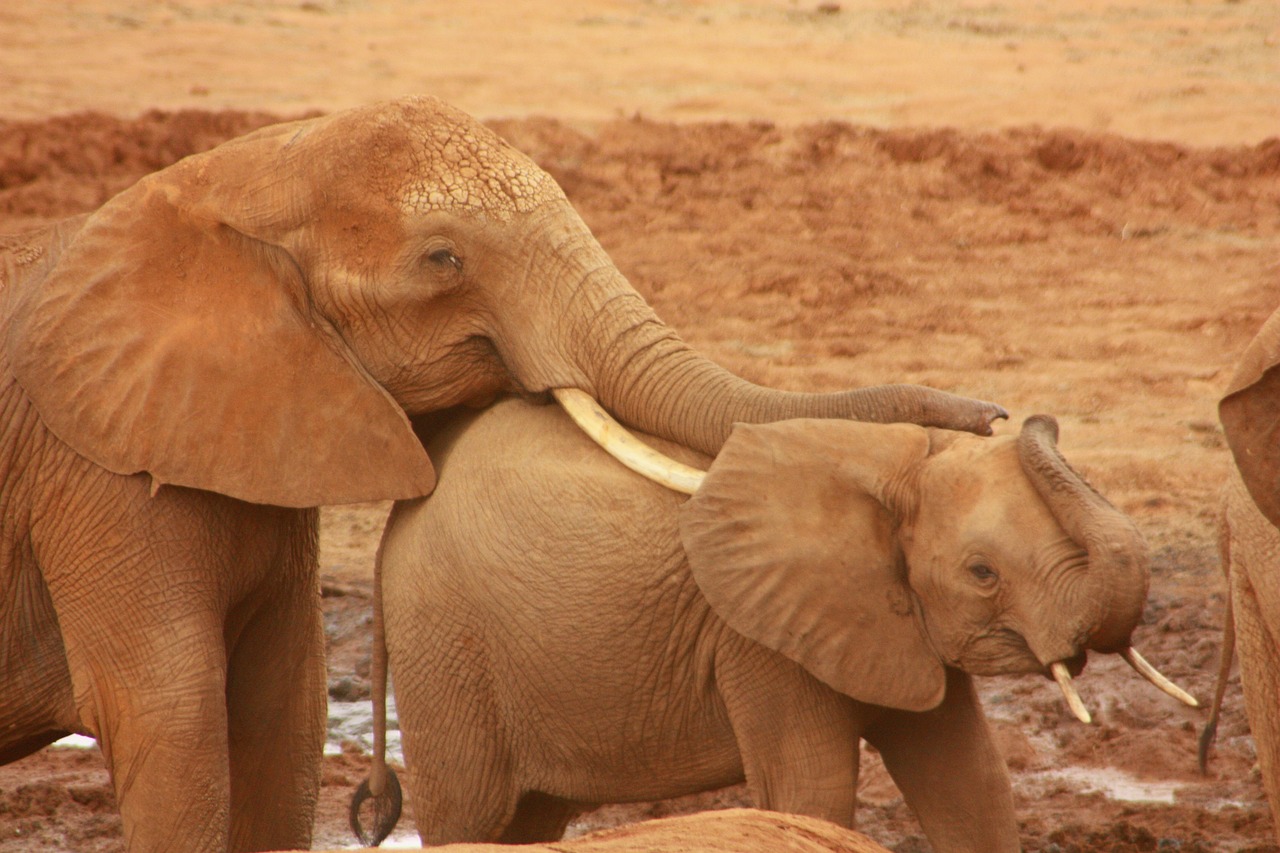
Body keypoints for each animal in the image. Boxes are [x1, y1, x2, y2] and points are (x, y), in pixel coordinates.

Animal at [0, 94, 998, 850]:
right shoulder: (90, 471)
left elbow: (285, 710)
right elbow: (173, 716)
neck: (234, 173)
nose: (995, 415)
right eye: (443, 259)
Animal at [353, 394, 1198, 845]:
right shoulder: (760, 640)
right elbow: (809, 791)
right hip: (445, 648)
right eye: (982, 573)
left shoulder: (893, 625)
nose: (1018, 415)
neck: (890, 463)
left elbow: (971, 781)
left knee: (529, 820)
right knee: (466, 814)